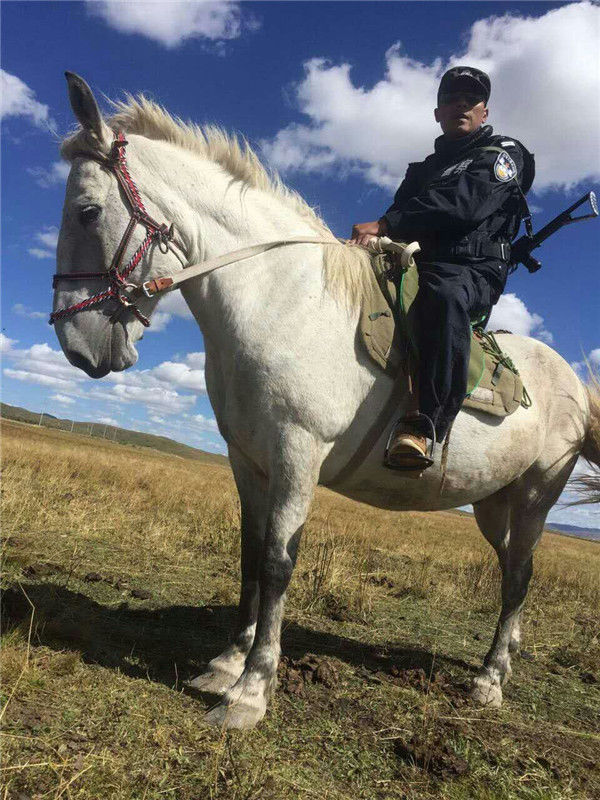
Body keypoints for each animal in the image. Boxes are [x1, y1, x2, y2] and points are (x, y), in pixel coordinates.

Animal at [52, 76, 600, 732]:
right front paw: (225, 664)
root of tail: (574, 385)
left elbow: (278, 562)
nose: (75, 345)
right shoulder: (248, 460)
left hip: (537, 494)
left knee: (519, 575)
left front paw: (250, 692)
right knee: (514, 570)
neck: (279, 298)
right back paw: (505, 657)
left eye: (87, 211)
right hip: (496, 504)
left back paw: (489, 681)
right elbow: (250, 553)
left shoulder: (297, 453)